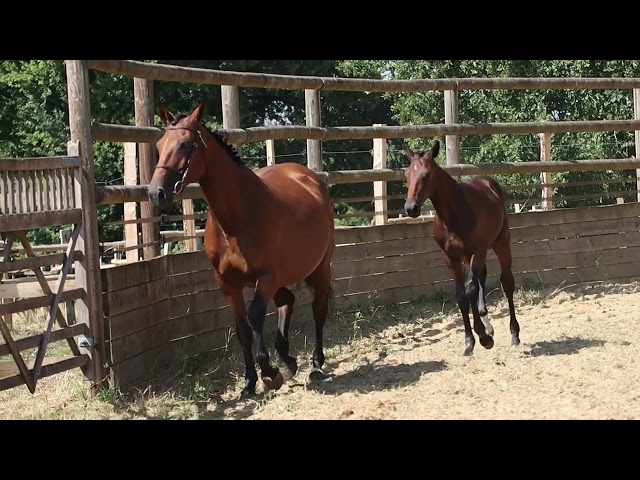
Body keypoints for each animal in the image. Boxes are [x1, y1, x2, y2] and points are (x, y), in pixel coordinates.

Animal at [147, 102, 335, 399]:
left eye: (186, 145)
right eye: (160, 144)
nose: (156, 193)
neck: (237, 218)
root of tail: (307, 176)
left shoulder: (266, 277)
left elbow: (256, 316)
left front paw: (269, 373)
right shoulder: (228, 284)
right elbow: (243, 330)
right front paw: (249, 383)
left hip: (320, 268)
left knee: (318, 309)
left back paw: (315, 365)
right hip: (281, 279)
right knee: (287, 301)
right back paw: (288, 360)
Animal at [402, 139, 521, 356]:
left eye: (427, 174)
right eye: (407, 174)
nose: (410, 208)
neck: (454, 215)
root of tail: (489, 183)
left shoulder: (477, 251)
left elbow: (470, 290)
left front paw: (483, 338)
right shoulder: (451, 258)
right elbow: (461, 296)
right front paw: (469, 342)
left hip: (500, 243)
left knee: (506, 282)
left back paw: (514, 334)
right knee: (481, 278)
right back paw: (487, 322)